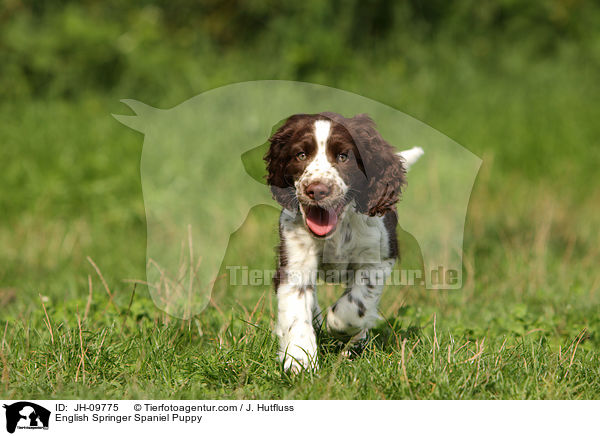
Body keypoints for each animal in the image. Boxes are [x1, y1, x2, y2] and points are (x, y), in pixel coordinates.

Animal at [262, 112, 422, 372]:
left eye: (343, 157)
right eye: (301, 155)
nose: (316, 190)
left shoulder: (377, 259)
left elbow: (357, 303)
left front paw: (338, 324)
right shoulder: (295, 262)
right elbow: (295, 310)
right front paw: (300, 359)